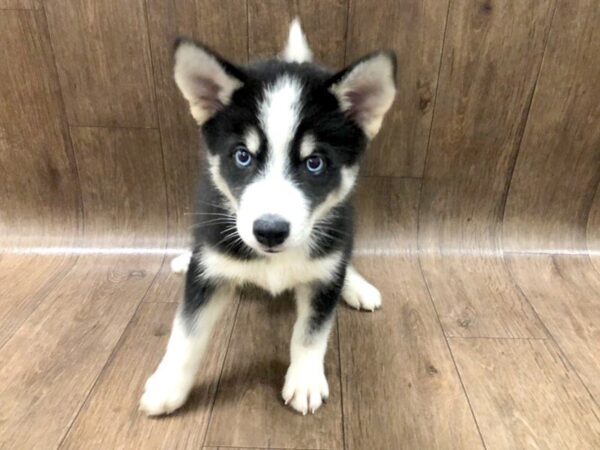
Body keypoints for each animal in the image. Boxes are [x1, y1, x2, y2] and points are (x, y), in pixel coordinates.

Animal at [138, 19, 396, 416]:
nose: (270, 231)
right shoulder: (208, 274)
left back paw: (355, 284)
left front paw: (305, 379)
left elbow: (311, 332)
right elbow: (187, 334)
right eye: (243, 156)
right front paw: (168, 385)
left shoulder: (322, 276)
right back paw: (184, 257)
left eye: (314, 162)